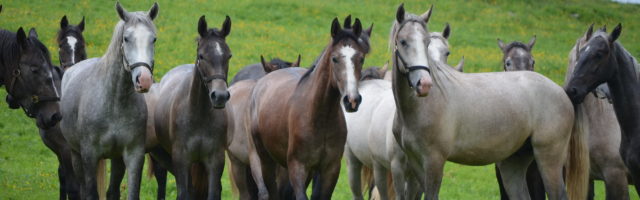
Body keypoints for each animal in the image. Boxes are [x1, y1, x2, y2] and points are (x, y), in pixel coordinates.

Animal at [60, 2, 159, 199]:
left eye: (153, 39)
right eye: (126, 38)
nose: (144, 80)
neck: (114, 103)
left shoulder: (133, 155)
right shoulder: (89, 157)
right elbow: (91, 193)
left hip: (117, 159)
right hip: (76, 156)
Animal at [246, 17, 368, 200]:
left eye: (361, 58)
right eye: (335, 59)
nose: (352, 100)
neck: (319, 116)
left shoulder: (330, 169)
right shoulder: (297, 167)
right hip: (266, 161)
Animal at [388, 3, 588, 200]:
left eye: (426, 42)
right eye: (403, 41)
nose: (424, 84)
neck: (422, 107)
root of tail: (562, 93)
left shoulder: (434, 161)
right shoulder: (415, 162)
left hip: (549, 160)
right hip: (513, 163)